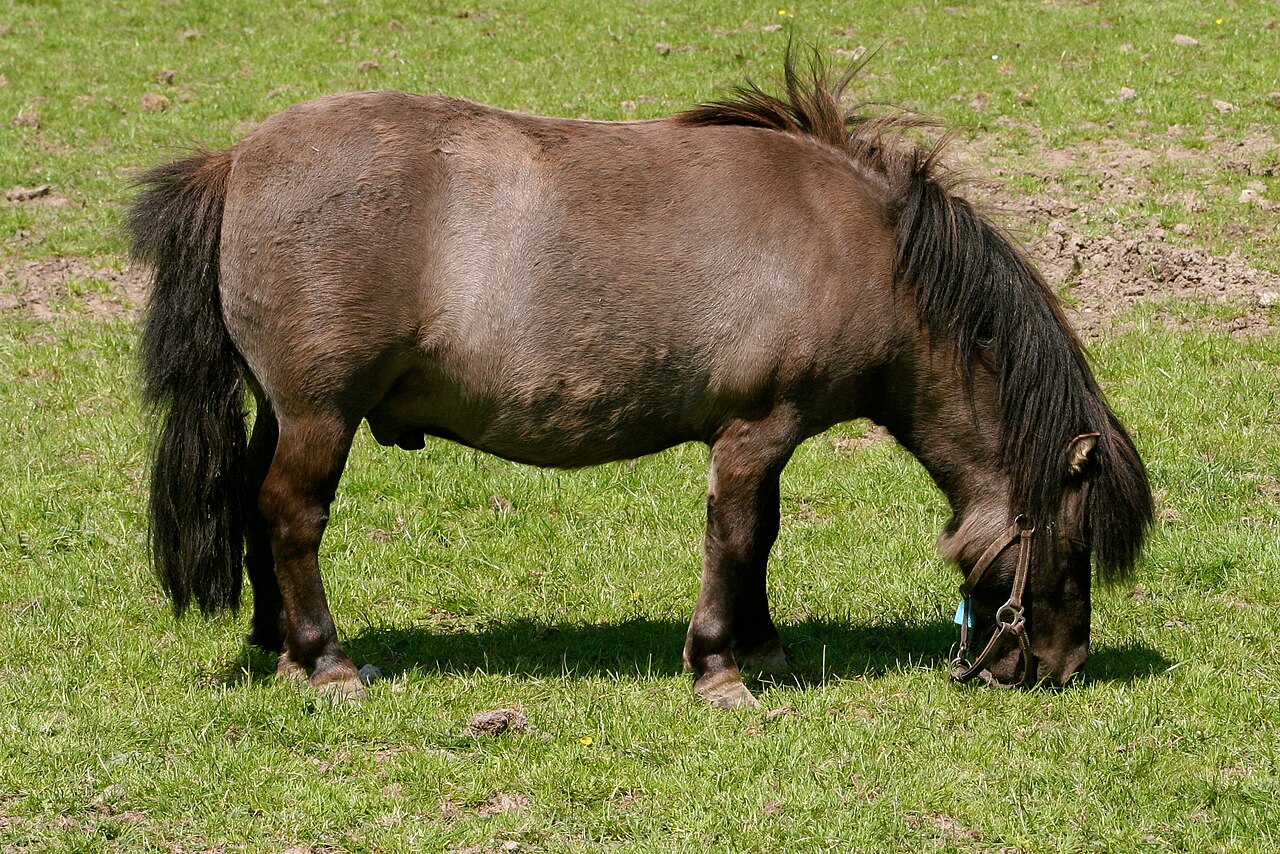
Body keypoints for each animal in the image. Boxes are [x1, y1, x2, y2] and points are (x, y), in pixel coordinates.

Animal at [129, 54, 1152, 708]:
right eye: (1074, 544)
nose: (1061, 668)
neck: (858, 247)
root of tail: (238, 161)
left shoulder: (762, 439)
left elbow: (761, 538)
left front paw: (765, 647)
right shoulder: (756, 431)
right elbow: (733, 538)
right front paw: (720, 669)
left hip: (286, 413)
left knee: (255, 506)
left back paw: (280, 648)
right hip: (321, 416)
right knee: (292, 517)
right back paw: (327, 660)